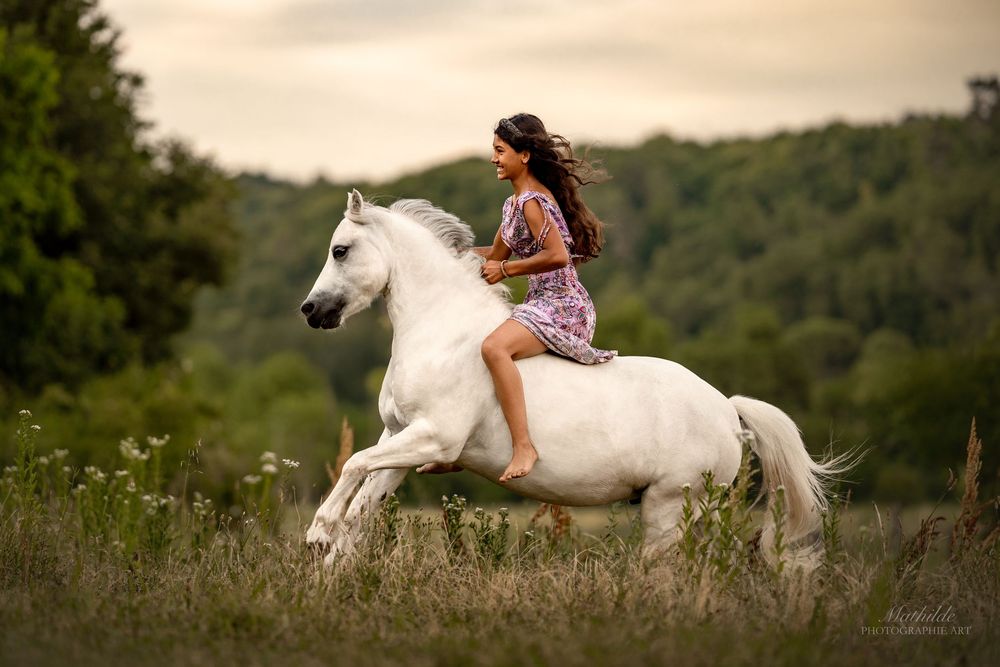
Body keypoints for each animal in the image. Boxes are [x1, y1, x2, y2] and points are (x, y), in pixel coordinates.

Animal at [300, 190, 853, 567]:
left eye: (340, 250)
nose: (311, 311)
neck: (440, 329)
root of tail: (727, 407)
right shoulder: (401, 438)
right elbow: (362, 503)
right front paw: (331, 572)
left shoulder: (434, 437)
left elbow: (351, 466)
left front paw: (318, 533)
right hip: (692, 510)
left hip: (671, 508)